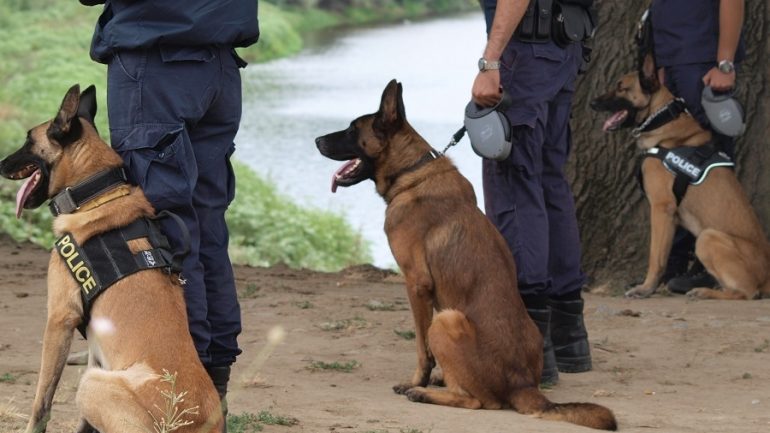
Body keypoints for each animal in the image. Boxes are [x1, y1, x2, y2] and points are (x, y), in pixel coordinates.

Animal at [0, 85, 222, 432]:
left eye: (28, 140)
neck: (94, 193)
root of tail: (195, 421)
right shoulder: (95, 341)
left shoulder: (59, 319)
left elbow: (41, 401)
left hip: (92, 383)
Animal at [312, 80, 612, 428]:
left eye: (351, 129)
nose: (317, 140)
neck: (411, 171)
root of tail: (523, 384)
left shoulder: (416, 285)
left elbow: (421, 348)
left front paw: (417, 380)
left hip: (446, 320)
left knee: (479, 402)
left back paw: (424, 392)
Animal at [588, 54, 768, 300]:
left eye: (621, 88)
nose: (592, 104)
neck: (661, 118)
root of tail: (768, 276)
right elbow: (665, 253)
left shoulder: (661, 208)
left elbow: (656, 257)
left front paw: (646, 288)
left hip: (708, 237)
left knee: (747, 292)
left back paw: (704, 291)